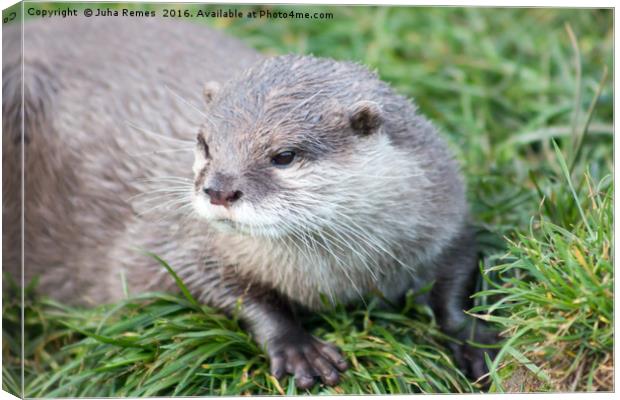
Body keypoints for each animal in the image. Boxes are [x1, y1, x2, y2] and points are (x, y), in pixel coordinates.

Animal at [2, 17, 496, 390]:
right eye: (204, 142)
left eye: (284, 156)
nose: (218, 189)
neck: (336, 277)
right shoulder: (177, 244)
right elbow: (221, 288)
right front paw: (298, 348)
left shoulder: (446, 218)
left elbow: (457, 278)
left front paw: (474, 341)